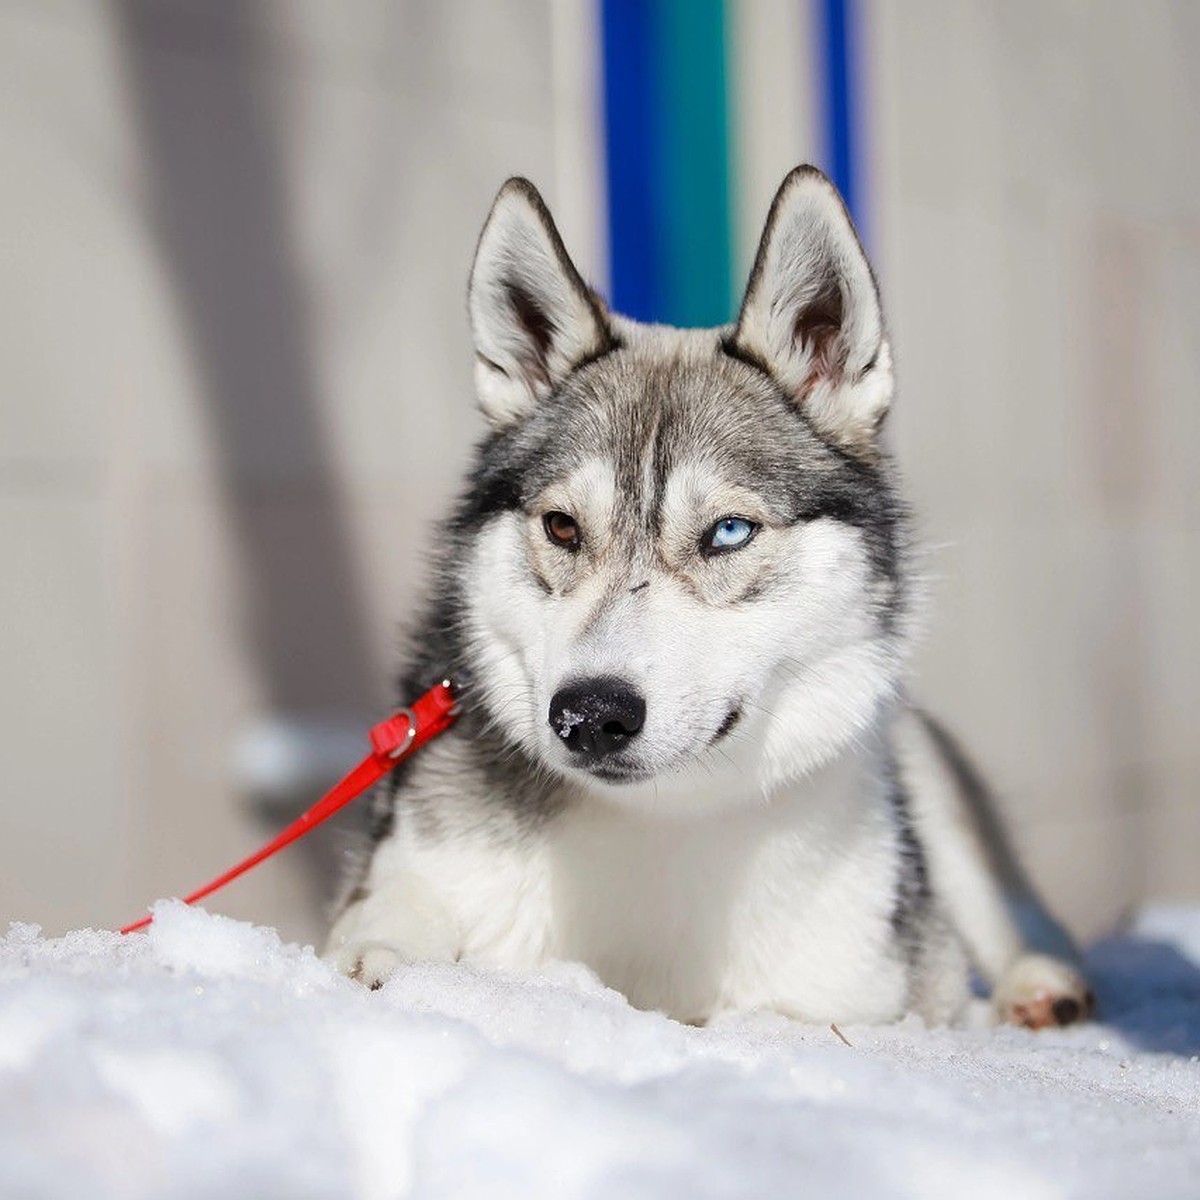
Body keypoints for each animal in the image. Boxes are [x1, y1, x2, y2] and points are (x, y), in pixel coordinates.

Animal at [328, 169, 1099, 1027]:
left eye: (728, 532)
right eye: (562, 526)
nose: (589, 715)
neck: (663, 823)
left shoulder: (851, 993)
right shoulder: (413, 862)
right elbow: (382, 924)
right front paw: (385, 958)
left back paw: (1041, 982)